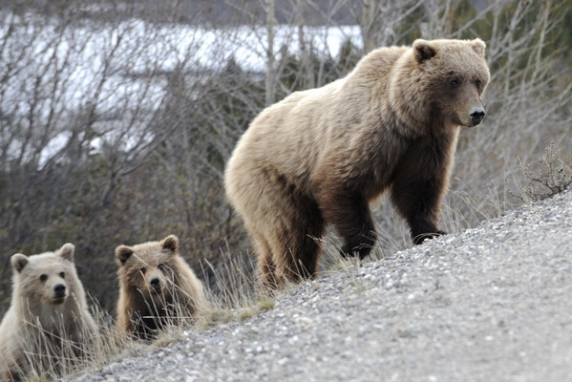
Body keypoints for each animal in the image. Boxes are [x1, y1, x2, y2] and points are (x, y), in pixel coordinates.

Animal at [226, 38, 490, 290]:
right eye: (454, 80)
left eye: (477, 80)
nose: (477, 113)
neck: (409, 118)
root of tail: (239, 145)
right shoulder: (371, 134)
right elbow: (342, 183)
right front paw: (351, 250)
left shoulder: (425, 144)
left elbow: (419, 187)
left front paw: (432, 231)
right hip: (273, 179)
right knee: (293, 230)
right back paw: (297, 274)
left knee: (271, 245)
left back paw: (271, 284)